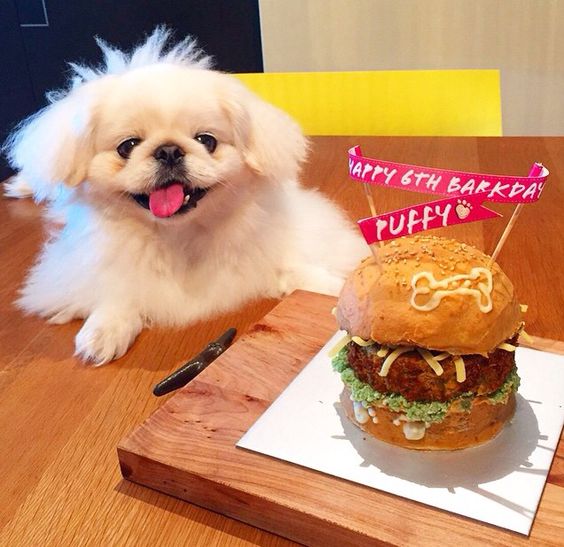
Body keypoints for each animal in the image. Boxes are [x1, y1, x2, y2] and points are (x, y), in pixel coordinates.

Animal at [3, 27, 366, 366]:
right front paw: (104, 330)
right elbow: (116, 287)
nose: (168, 151)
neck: (180, 238)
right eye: (127, 146)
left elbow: (298, 270)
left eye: (206, 140)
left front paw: (335, 289)